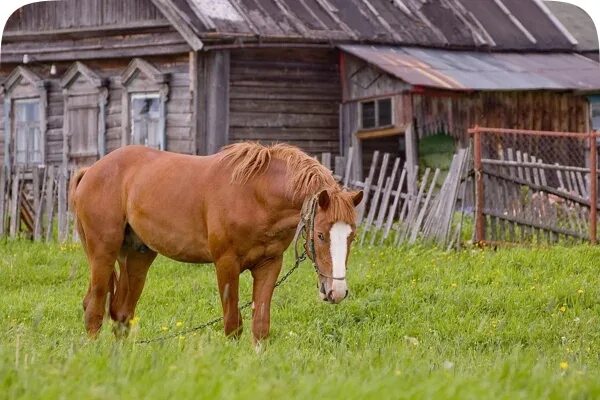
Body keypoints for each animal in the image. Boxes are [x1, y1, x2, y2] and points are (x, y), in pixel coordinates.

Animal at [69, 142, 360, 342]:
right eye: (320, 235)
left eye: (352, 236)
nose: (337, 292)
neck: (256, 195)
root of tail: (91, 170)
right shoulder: (226, 264)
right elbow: (232, 325)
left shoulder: (269, 265)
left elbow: (260, 326)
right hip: (103, 254)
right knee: (94, 309)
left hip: (137, 256)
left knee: (121, 313)